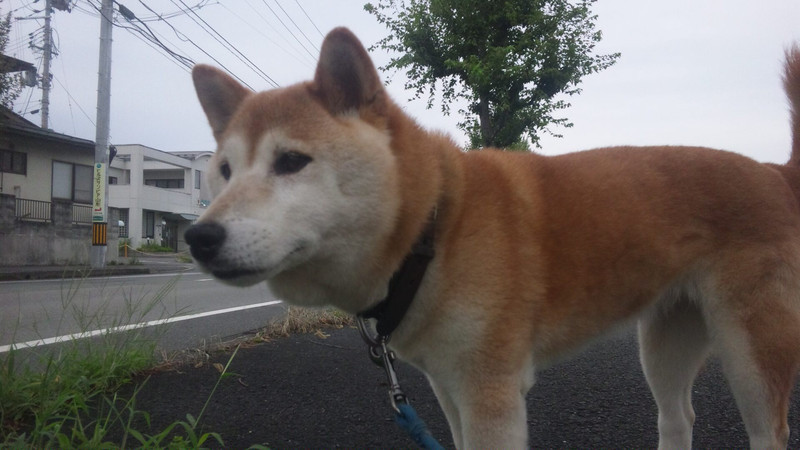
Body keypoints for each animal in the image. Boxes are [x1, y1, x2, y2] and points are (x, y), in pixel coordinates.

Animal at [184, 27, 800, 448]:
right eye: (224, 171)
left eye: (291, 161)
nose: (198, 236)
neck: (434, 227)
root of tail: (777, 172)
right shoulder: (447, 384)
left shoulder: (490, 392)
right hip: (664, 344)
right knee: (678, 419)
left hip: (751, 351)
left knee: (769, 430)